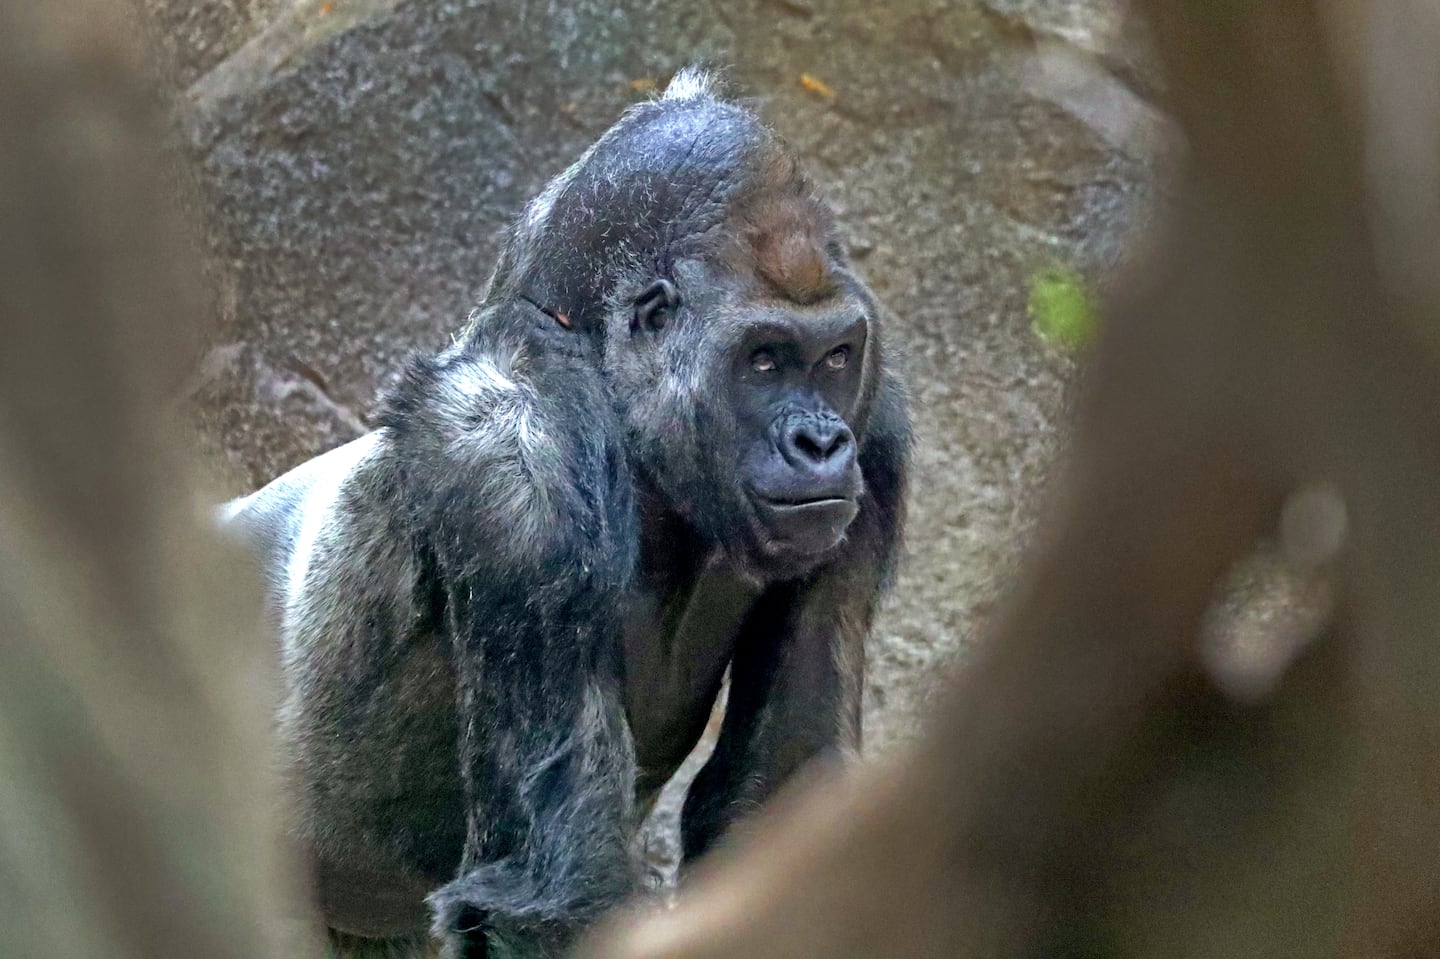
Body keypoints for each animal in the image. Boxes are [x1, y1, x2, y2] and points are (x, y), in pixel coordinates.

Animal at [224, 70, 910, 950]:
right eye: (763, 360)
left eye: (835, 357)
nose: (820, 441)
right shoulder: (518, 458)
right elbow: (553, 888)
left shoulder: (876, 433)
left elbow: (782, 795)